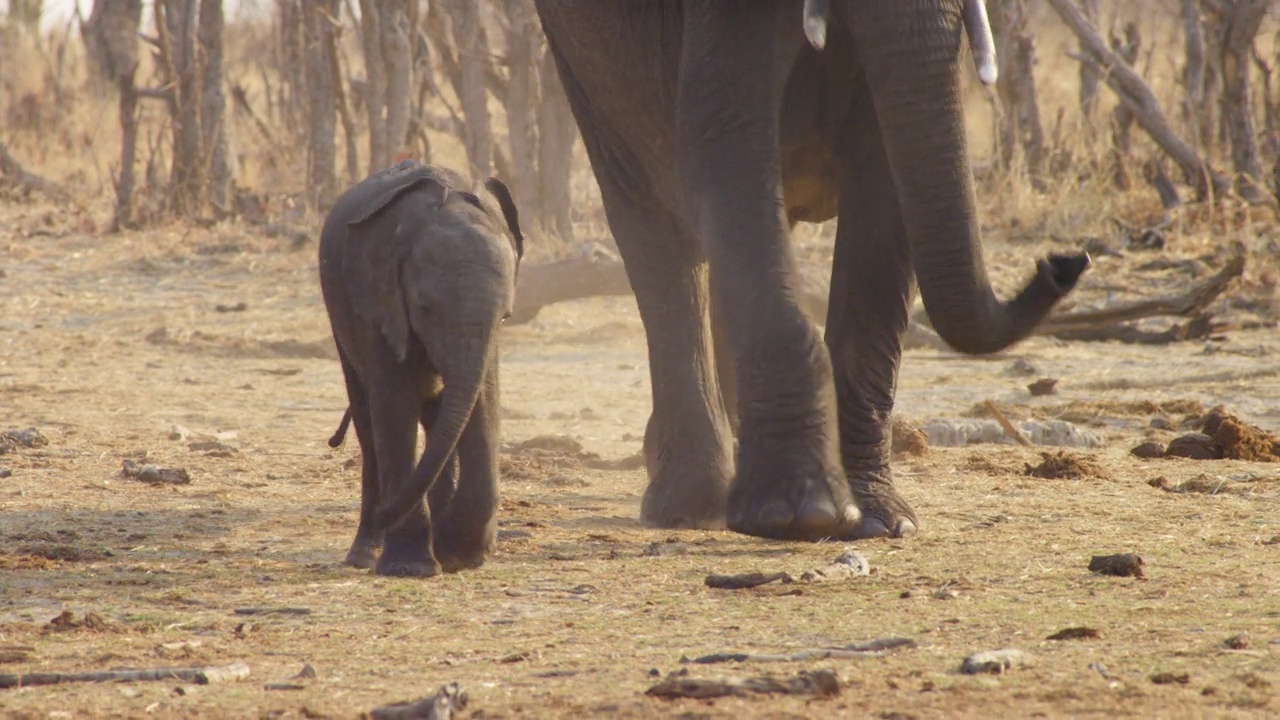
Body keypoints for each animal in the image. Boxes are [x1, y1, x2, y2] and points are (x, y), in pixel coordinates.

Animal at [320, 159, 524, 573]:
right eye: (425, 309)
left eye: (506, 316)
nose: (385, 513)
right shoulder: (379, 303)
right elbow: (394, 403)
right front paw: (411, 568)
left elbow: (481, 403)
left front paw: (461, 556)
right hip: (339, 309)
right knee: (368, 419)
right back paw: (365, 553)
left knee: (435, 421)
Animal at [535, 0, 1085, 538]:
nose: (1064, 262)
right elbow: (726, 150)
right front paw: (798, 514)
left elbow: (884, 185)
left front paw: (877, 520)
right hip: (577, 58)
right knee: (652, 219)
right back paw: (688, 505)